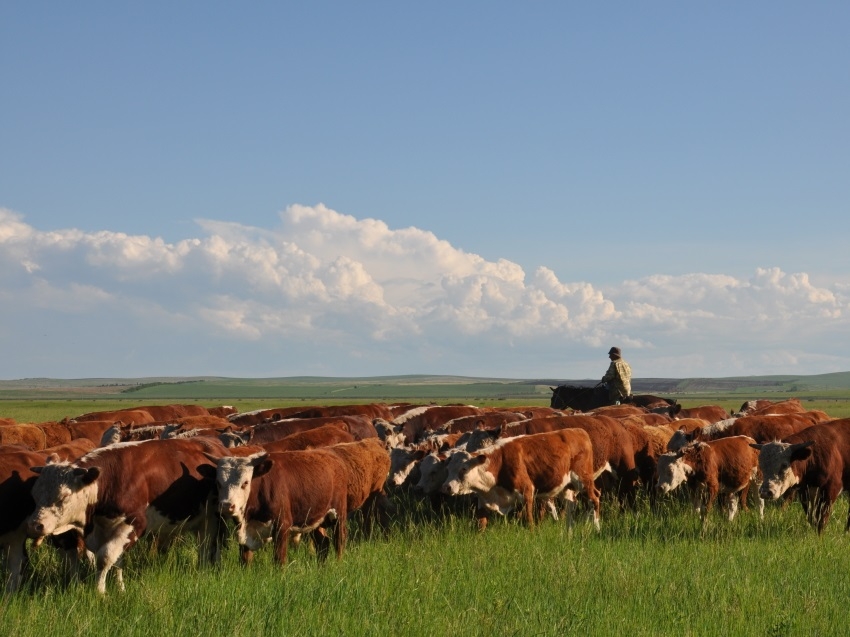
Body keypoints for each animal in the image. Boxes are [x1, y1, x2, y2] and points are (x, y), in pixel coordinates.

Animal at [26, 438, 227, 592]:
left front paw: (100, 592)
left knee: (207, 546)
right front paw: (120, 589)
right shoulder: (107, 529)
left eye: (64, 496)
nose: (35, 525)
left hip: (212, 519)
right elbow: (117, 560)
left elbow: (105, 558)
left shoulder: (133, 524)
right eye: (34, 494)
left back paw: (203, 572)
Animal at [440, 430, 600, 528]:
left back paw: (596, 527)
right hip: (567, 487)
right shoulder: (484, 500)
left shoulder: (527, 491)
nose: (446, 487)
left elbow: (529, 521)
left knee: (594, 499)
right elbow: (481, 524)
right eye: (447, 469)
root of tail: (579, 431)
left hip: (584, 480)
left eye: (463, 469)